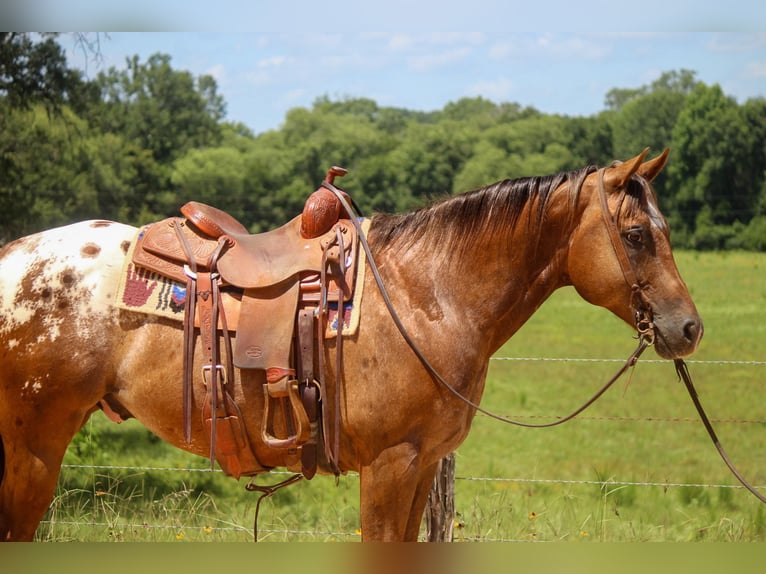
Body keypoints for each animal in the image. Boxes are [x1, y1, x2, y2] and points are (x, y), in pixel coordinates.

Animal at [0, 150, 704, 544]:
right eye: (637, 235)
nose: (689, 328)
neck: (428, 292)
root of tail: (14, 254)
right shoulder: (391, 466)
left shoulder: (422, 467)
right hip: (34, 447)